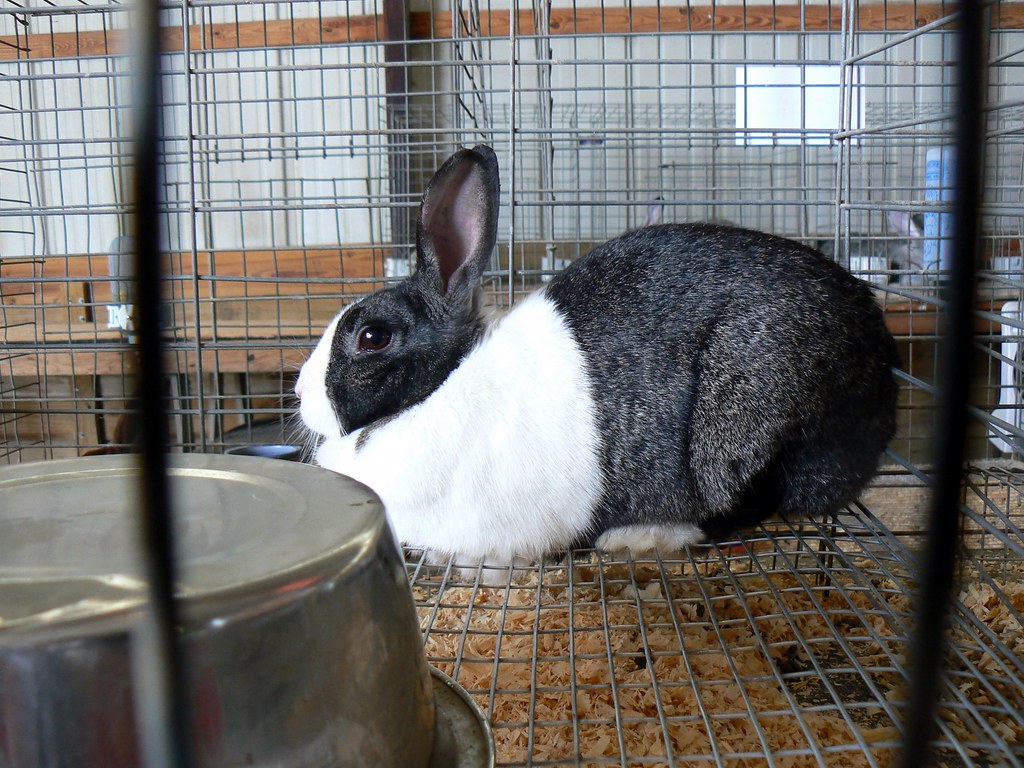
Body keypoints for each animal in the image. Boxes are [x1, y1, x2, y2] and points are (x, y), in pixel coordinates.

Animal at [295, 145, 899, 567]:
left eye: (372, 337)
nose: (299, 392)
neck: (446, 382)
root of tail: (880, 367)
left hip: (741, 417)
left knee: (745, 502)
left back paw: (644, 536)